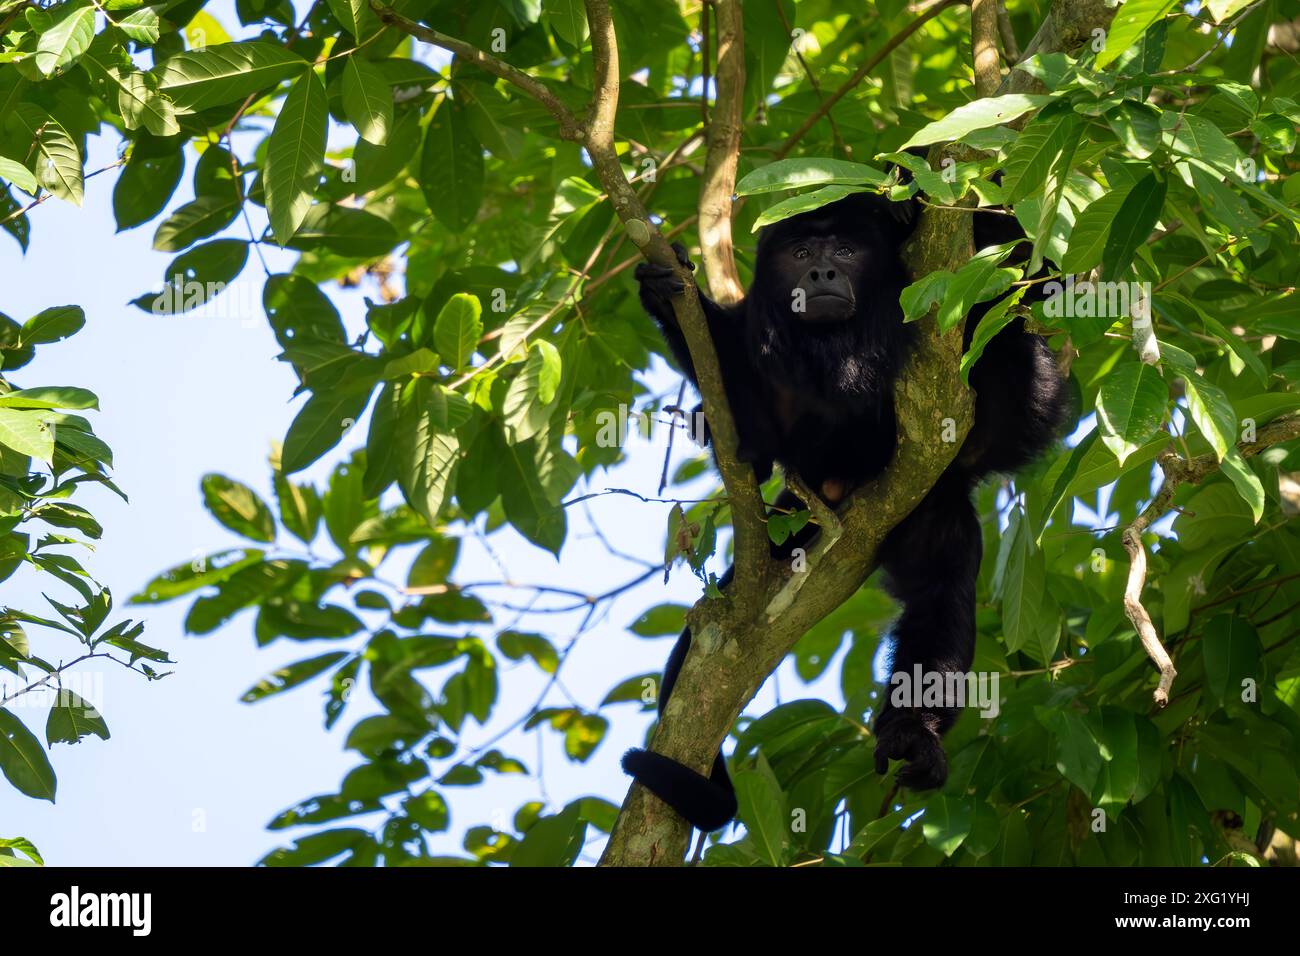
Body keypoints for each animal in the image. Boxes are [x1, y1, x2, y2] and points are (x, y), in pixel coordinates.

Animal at [626, 192, 1066, 832]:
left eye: (845, 251)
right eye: (801, 252)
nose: (822, 274)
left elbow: (1036, 264)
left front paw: (905, 200)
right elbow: (737, 383)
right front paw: (663, 292)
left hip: (934, 501)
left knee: (941, 588)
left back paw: (913, 734)